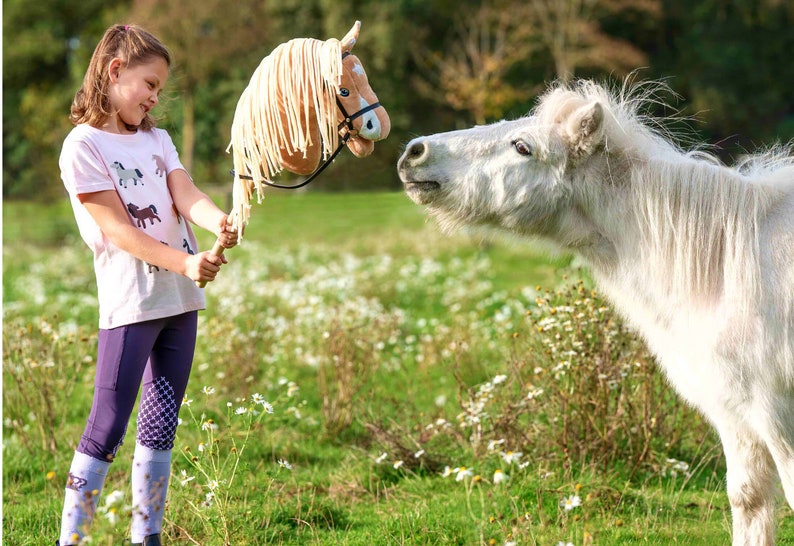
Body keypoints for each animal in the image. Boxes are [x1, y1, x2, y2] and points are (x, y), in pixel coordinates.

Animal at [397, 79, 794, 546]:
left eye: (522, 147)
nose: (415, 152)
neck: (733, 265)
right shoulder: (736, 415)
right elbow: (748, 500)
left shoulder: (776, 415)